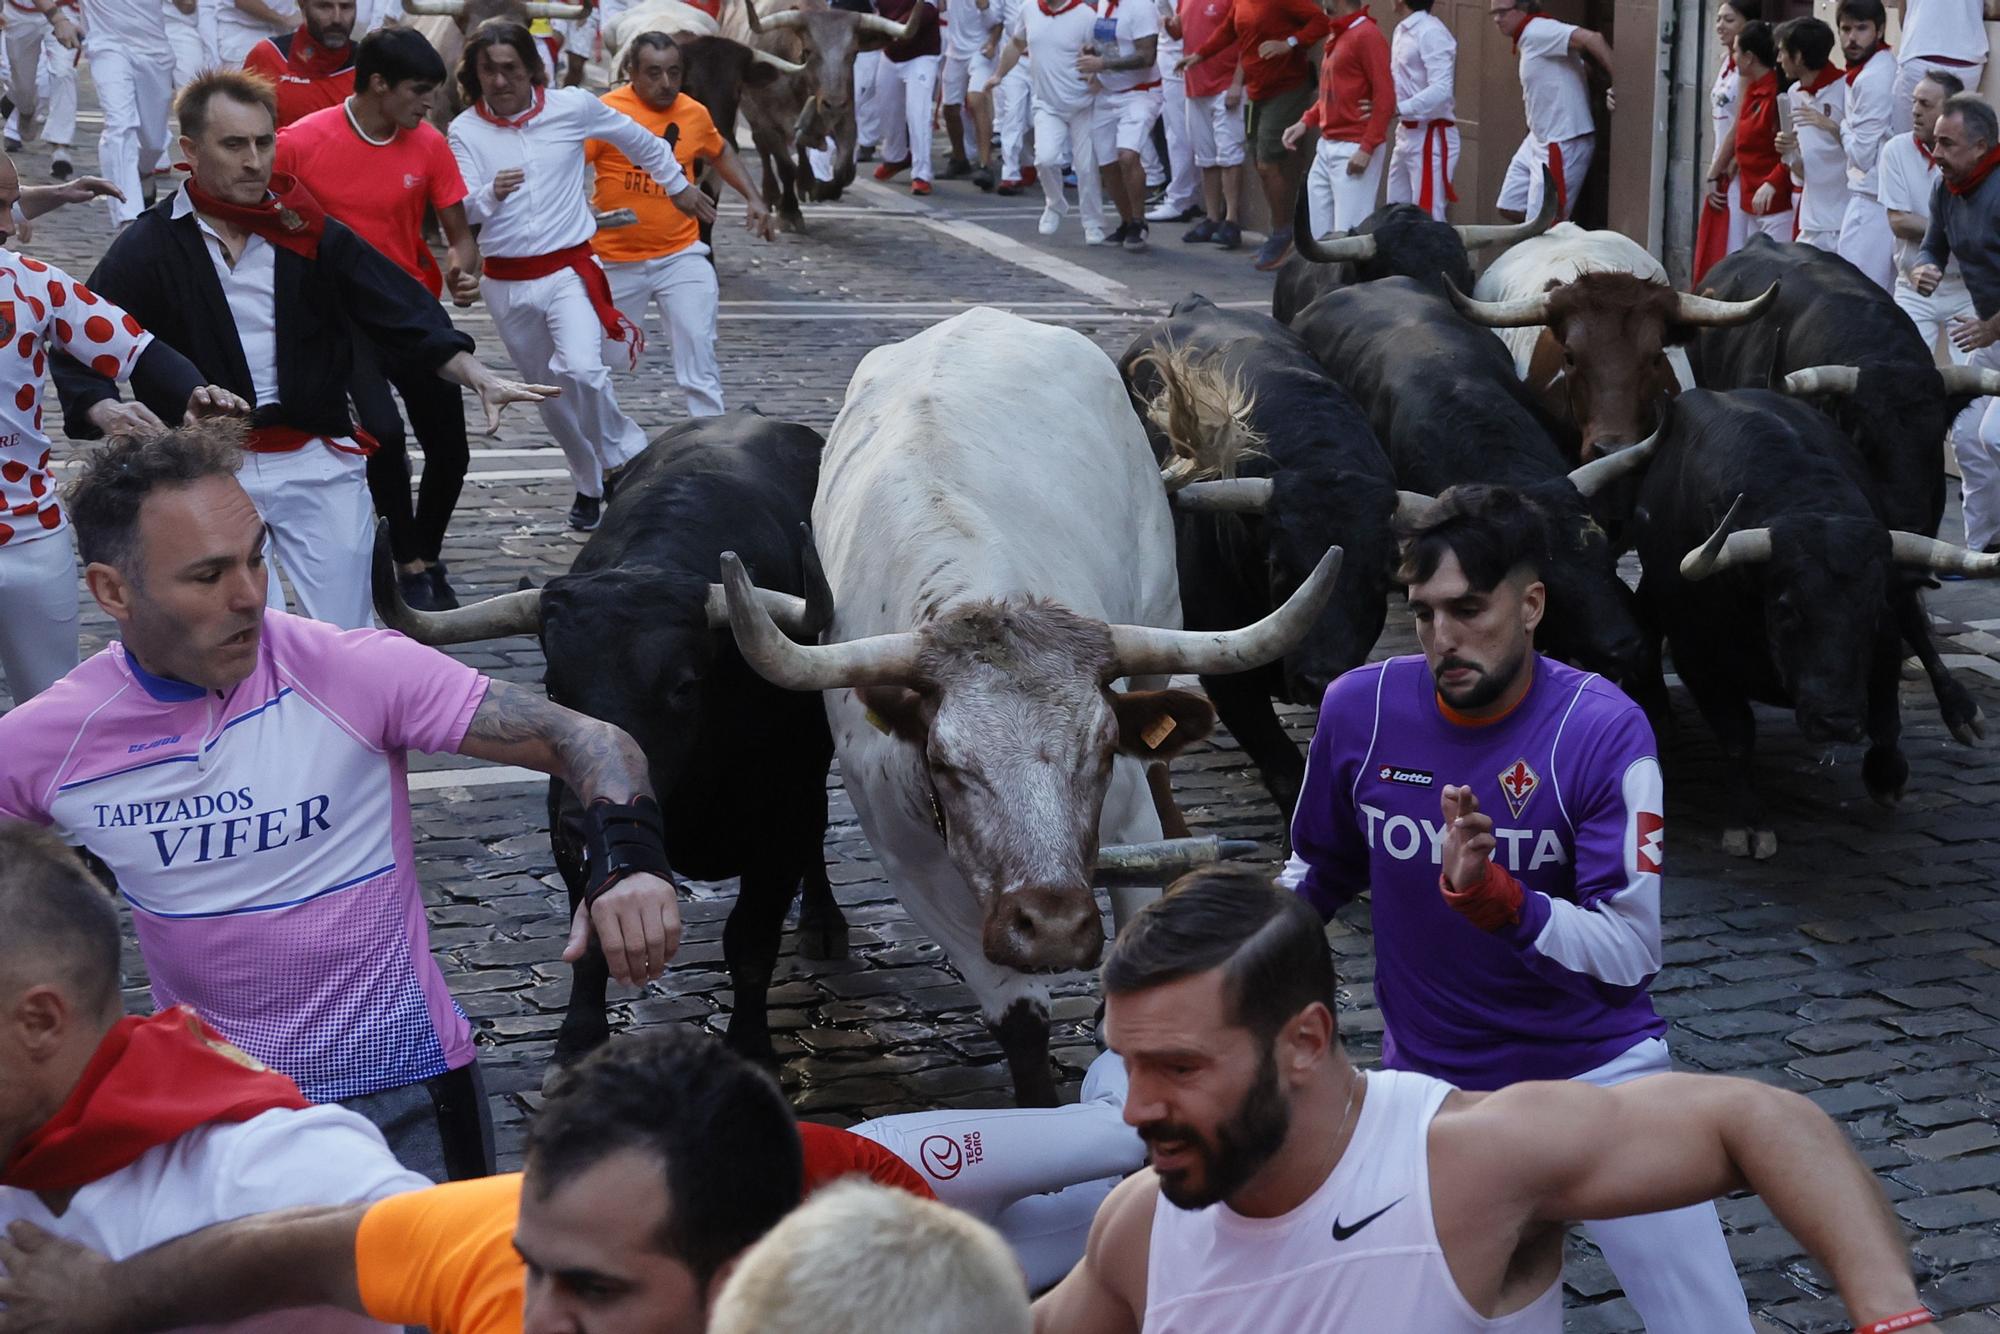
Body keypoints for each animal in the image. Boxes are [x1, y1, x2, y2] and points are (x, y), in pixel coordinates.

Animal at [724, 310, 1344, 1104]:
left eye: (1103, 749)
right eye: (945, 762)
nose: (1051, 925)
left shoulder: (1127, 814)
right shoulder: (916, 872)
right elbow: (1018, 1020)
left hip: (1159, 619)